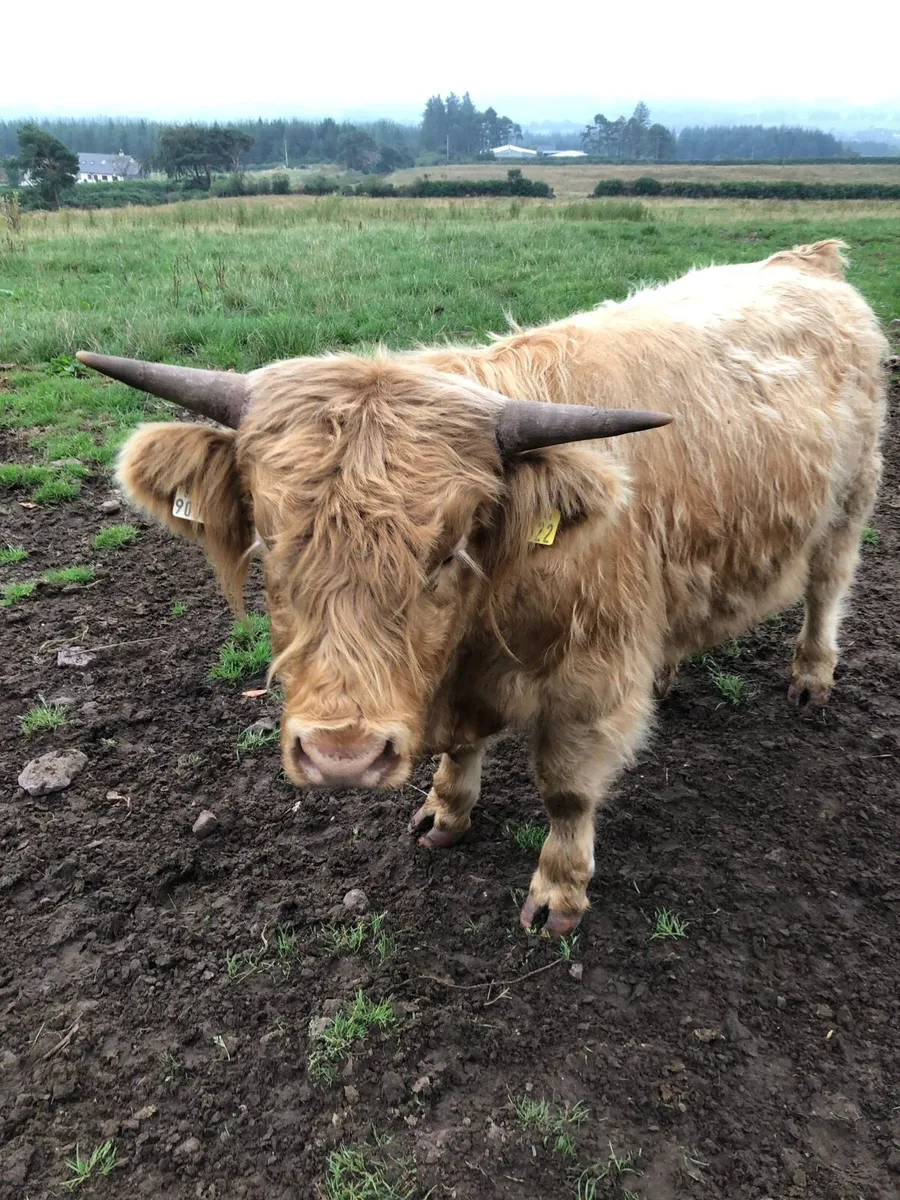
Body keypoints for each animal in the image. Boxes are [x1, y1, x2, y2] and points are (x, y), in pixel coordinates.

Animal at [78, 239, 888, 936]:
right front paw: (444, 811)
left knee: (828, 586)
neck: (482, 625)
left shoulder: (590, 681)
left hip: (851, 501)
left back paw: (812, 676)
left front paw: (558, 892)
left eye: (452, 546)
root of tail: (805, 260)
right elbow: (461, 750)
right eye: (267, 542)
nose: (343, 754)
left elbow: (566, 791)